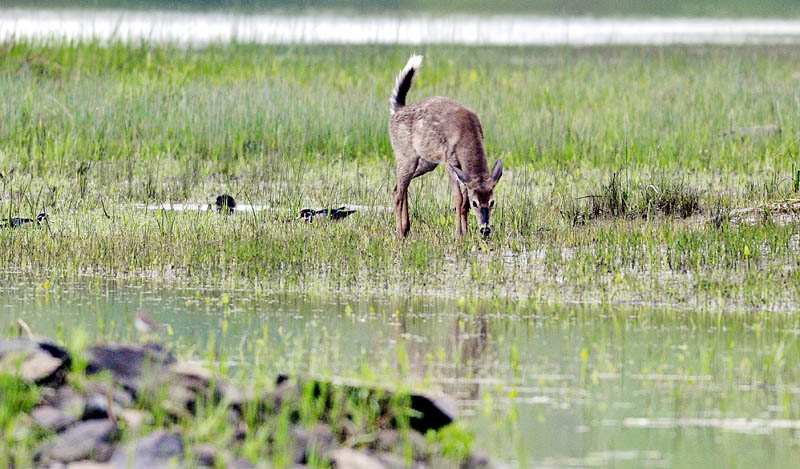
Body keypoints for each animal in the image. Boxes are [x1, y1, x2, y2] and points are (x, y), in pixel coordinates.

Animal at [388, 54, 500, 238]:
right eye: (476, 203)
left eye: (492, 202)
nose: (485, 229)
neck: (467, 134)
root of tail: (397, 110)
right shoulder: (450, 161)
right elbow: (459, 198)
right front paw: (458, 234)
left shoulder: (461, 169)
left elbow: (463, 201)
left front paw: (465, 232)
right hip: (406, 155)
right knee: (398, 192)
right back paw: (400, 233)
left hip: (427, 162)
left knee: (398, 187)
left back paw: (406, 228)